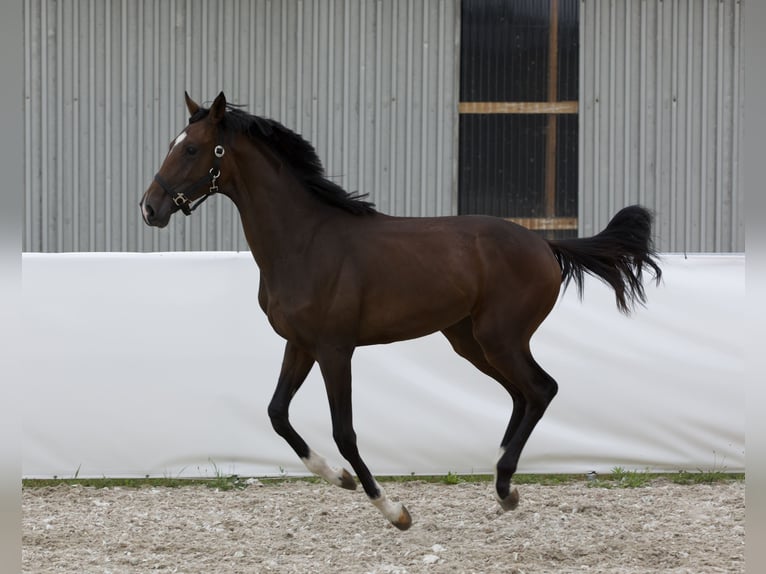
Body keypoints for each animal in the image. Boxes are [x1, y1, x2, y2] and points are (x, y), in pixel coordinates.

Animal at [141, 91, 664, 532]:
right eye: (173, 145)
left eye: (193, 150)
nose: (149, 207)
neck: (304, 242)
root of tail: (545, 244)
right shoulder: (300, 344)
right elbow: (276, 414)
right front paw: (341, 479)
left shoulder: (335, 349)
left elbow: (345, 431)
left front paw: (393, 510)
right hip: (470, 341)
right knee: (522, 395)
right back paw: (504, 485)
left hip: (501, 338)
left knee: (541, 389)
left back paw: (504, 485)